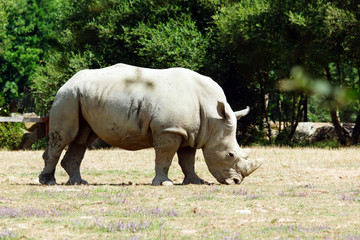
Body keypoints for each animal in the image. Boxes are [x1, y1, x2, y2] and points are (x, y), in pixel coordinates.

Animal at [39, 63, 262, 186]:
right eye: (230, 155)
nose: (236, 182)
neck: (212, 117)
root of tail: (68, 80)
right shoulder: (169, 130)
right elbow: (165, 157)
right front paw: (164, 183)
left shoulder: (189, 132)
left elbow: (187, 159)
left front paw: (196, 181)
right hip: (67, 96)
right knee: (65, 137)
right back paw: (49, 182)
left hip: (84, 96)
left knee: (82, 138)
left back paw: (78, 182)